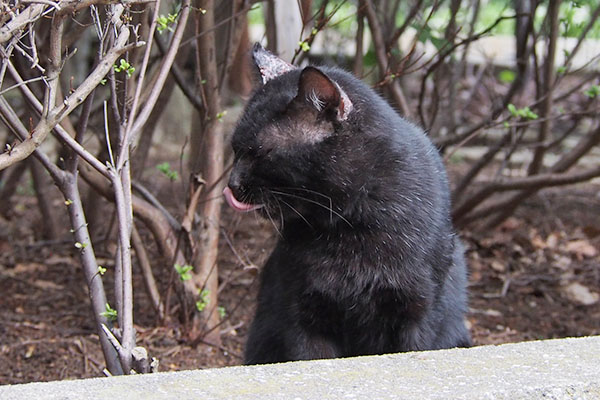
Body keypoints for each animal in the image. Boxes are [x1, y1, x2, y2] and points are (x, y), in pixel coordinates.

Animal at [223, 44, 472, 366]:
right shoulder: (301, 315)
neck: (350, 226)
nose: (232, 184)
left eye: (260, 152)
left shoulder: (420, 313)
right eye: (235, 149)